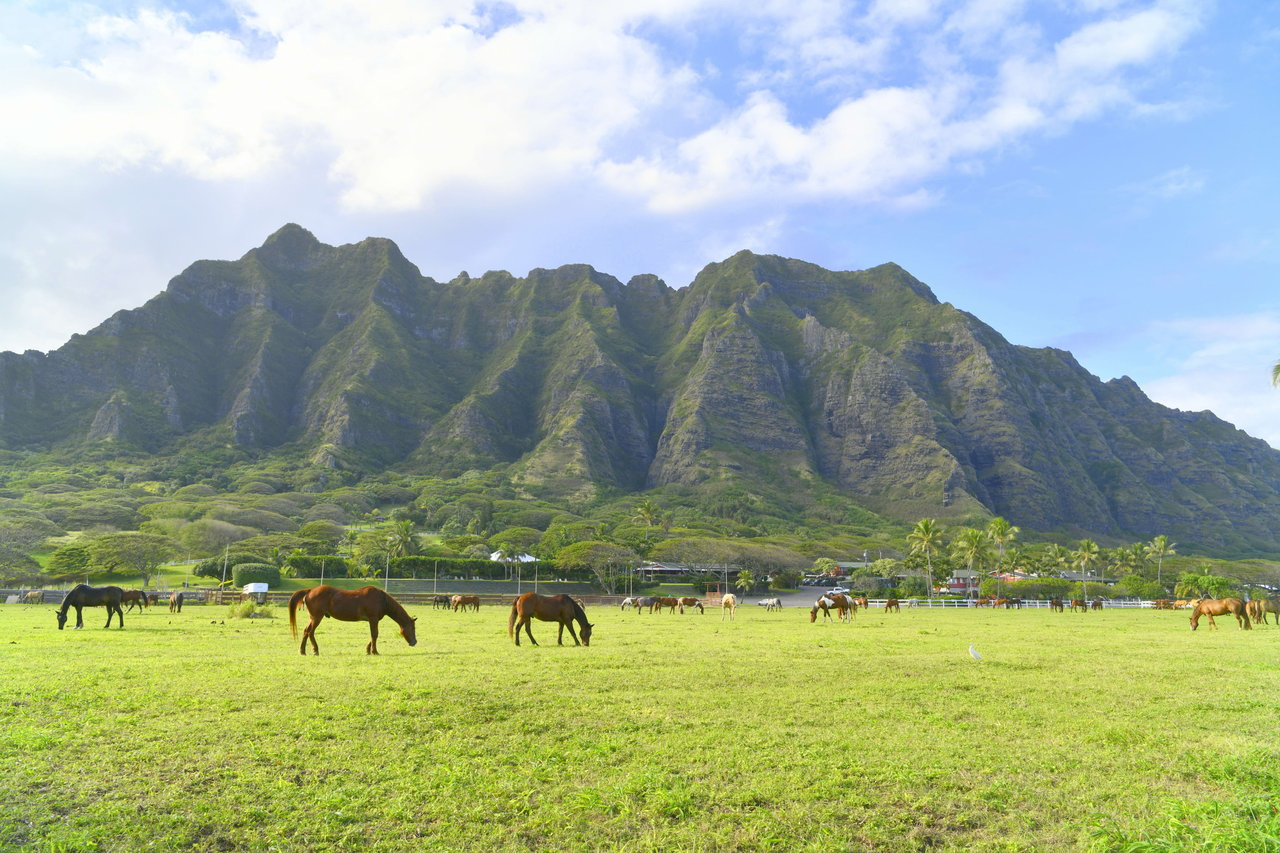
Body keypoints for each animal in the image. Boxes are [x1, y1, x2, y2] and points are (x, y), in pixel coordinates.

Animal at [288, 581, 417, 653]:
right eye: (413, 628)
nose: (414, 642)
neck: (382, 600)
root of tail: (310, 590)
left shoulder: (372, 621)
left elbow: (372, 635)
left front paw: (368, 650)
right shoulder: (373, 619)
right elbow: (374, 635)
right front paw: (374, 651)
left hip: (313, 618)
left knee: (306, 631)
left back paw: (302, 651)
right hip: (317, 618)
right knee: (310, 632)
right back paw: (315, 650)